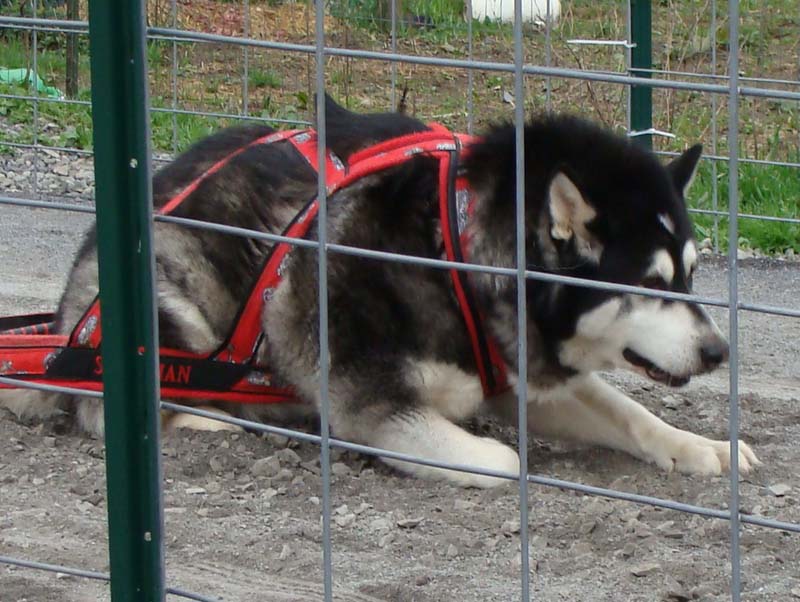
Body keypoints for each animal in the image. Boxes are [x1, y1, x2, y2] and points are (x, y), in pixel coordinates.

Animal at [0, 96, 760, 486]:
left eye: (692, 274)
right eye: (649, 283)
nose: (719, 351)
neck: (453, 251)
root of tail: (66, 314)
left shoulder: (513, 373)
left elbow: (630, 414)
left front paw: (702, 447)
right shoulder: (372, 399)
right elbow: (504, 461)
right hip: (176, 303)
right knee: (109, 408)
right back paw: (218, 417)